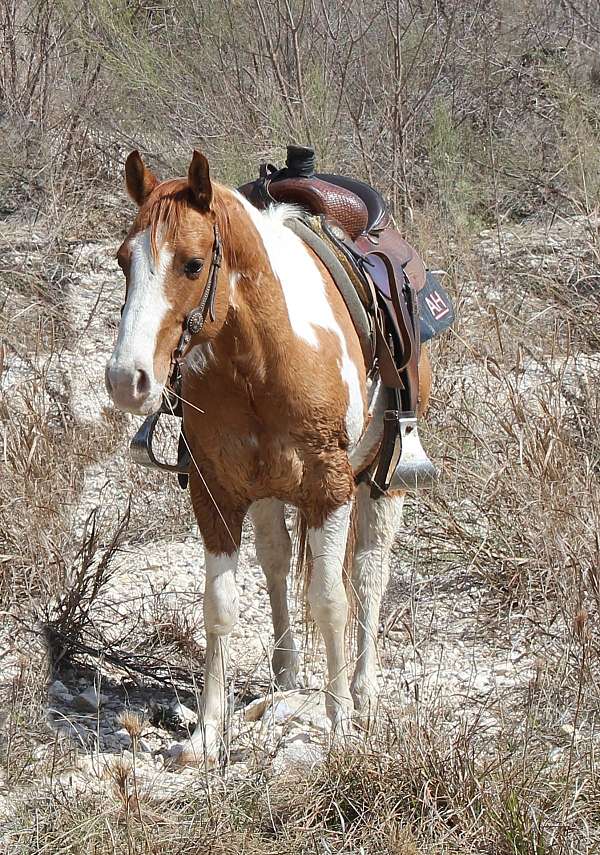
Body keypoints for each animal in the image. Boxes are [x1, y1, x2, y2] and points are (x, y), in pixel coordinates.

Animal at [104, 149, 432, 768]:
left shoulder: (330, 489)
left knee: (369, 575)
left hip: (383, 484)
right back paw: (286, 678)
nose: (125, 381)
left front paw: (337, 723)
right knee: (278, 564)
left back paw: (364, 693)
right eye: (123, 261)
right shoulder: (216, 492)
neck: (262, 358)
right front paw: (209, 732)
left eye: (191, 264)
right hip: (267, 491)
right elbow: (220, 605)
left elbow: (331, 601)